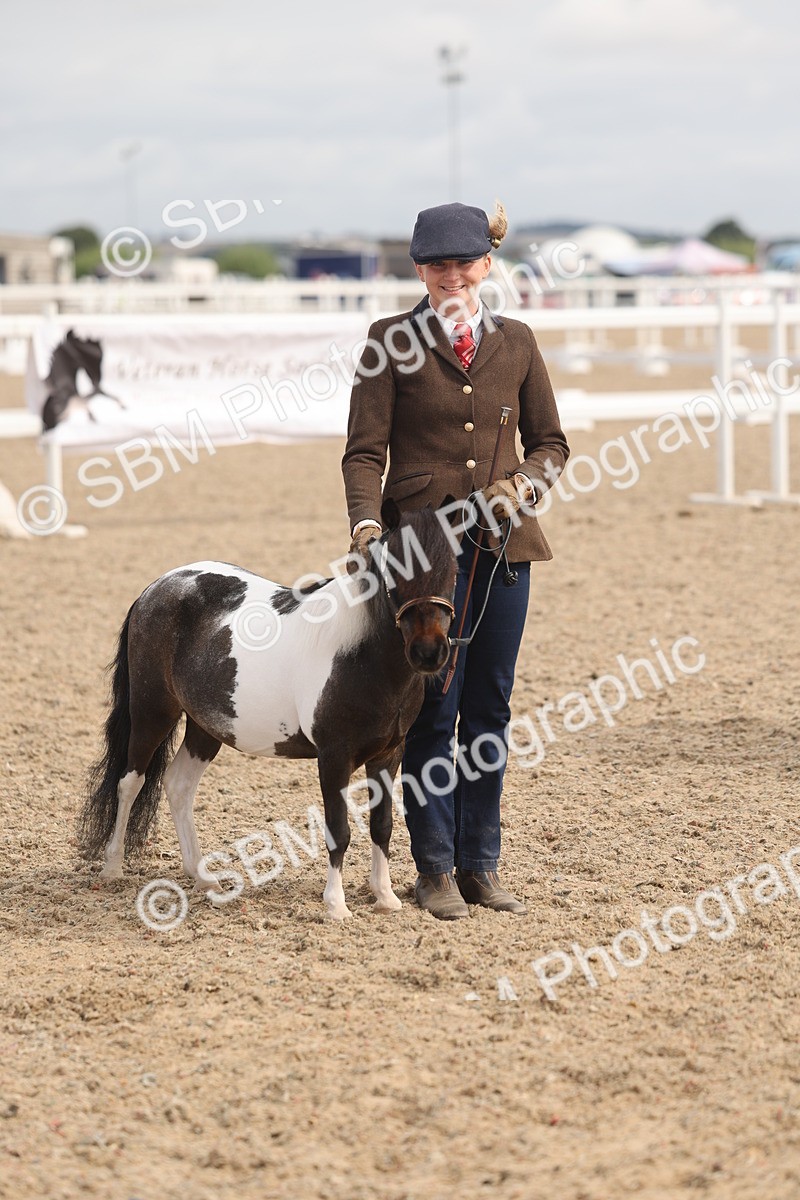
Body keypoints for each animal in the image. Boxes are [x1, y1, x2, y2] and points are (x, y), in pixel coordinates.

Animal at [78, 500, 459, 920]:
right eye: (396, 568)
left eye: (454, 570)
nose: (429, 652)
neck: (360, 654)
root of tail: (156, 588)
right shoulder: (334, 757)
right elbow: (338, 830)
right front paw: (336, 906)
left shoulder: (389, 755)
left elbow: (382, 825)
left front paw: (385, 897)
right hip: (152, 711)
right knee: (130, 781)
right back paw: (112, 867)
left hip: (205, 727)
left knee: (178, 785)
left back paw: (203, 878)